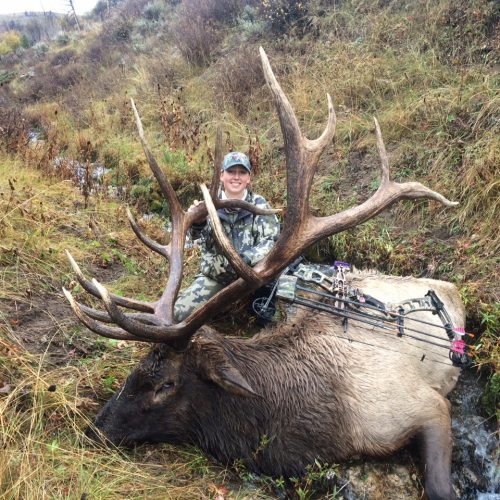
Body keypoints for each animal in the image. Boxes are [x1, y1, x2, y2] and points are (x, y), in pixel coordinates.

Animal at [63, 47, 464, 500]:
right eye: (136, 370)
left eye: (165, 384)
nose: (95, 429)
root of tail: (447, 286)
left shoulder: (426, 406)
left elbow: (440, 486)